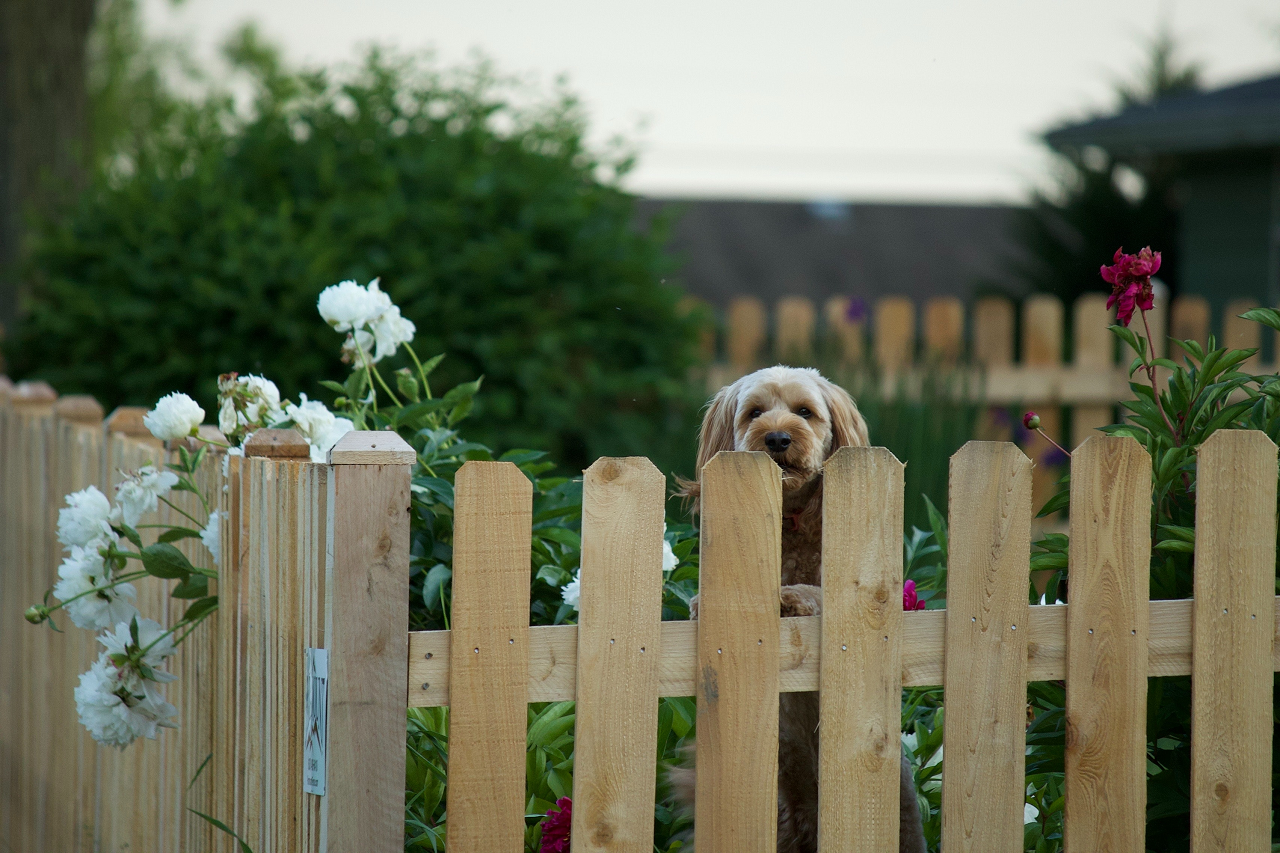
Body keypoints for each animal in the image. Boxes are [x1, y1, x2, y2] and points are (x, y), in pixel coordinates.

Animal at [675, 363, 926, 850]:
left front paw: (792, 597)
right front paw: (700, 603)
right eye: (754, 412)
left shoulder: (860, 594)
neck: (790, 519)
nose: (776, 438)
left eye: (805, 412)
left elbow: (819, 593)